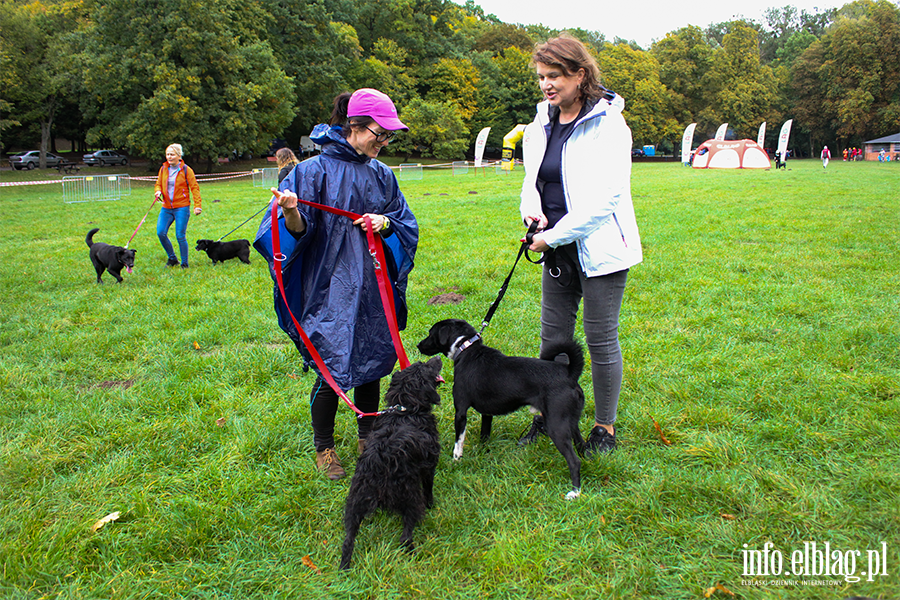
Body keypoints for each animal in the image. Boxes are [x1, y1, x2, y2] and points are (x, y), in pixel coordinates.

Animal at [340, 356, 444, 572]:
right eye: (427, 366)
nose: (438, 357)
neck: (406, 410)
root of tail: (378, 466)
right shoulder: (429, 466)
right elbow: (429, 488)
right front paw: (432, 505)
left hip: (355, 502)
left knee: (348, 540)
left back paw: (344, 568)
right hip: (410, 497)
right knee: (405, 536)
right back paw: (412, 551)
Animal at [418, 318, 588, 502]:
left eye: (430, 333)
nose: (419, 345)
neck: (466, 348)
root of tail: (569, 375)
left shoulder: (461, 411)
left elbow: (459, 441)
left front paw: (456, 461)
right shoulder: (487, 413)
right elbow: (484, 435)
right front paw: (483, 453)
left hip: (556, 426)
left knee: (574, 461)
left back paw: (575, 492)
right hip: (571, 423)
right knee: (581, 447)